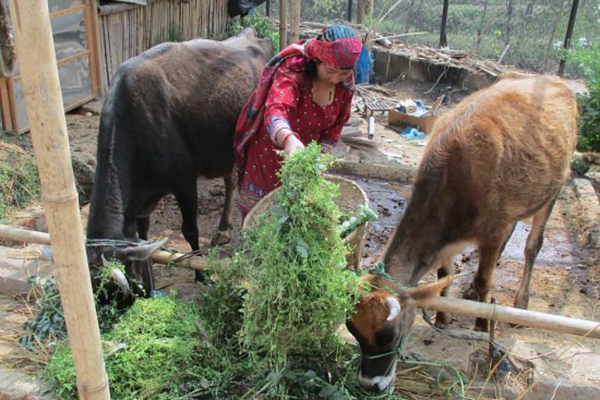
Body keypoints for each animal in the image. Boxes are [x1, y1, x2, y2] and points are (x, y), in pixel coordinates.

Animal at [350, 73, 580, 392]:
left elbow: (484, 281)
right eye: (355, 333)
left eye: (391, 335)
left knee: (532, 246)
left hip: (553, 189)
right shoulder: (448, 243)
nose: (369, 384)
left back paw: (520, 302)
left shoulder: (492, 232)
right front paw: (442, 317)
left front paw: (482, 325)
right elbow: (443, 277)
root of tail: (552, 78)